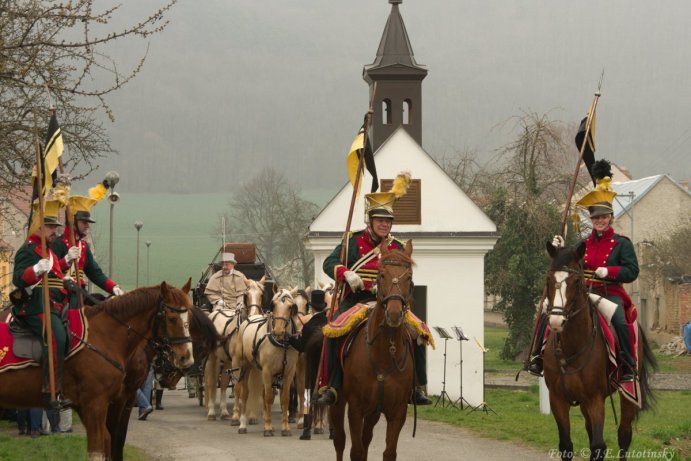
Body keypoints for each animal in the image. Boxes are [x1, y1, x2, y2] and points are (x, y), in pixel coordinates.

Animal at [0, 280, 195, 460]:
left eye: (190, 319)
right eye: (172, 318)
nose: (187, 358)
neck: (104, 336)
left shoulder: (103, 402)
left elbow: (111, 440)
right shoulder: (97, 404)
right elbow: (104, 447)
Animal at [205, 274, 264, 422]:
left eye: (261, 294)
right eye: (246, 294)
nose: (253, 315)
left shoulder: (248, 363)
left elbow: (246, 388)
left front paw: (247, 415)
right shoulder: (237, 361)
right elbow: (237, 387)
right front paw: (236, 415)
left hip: (226, 360)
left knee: (224, 383)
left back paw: (224, 412)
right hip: (212, 358)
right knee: (211, 381)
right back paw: (211, 412)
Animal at [234, 288, 298, 434]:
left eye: (290, 307)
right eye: (273, 305)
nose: (278, 331)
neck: (282, 344)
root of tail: (250, 318)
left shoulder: (288, 373)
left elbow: (284, 399)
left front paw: (285, 428)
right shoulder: (267, 371)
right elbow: (268, 398)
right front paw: (268, 427)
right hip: (244, 366)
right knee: (244, 393)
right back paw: (242, 424)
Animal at [332, 241, 416, 460]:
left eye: (409, 276)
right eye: (382, 274)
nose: (394, 314)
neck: (385, 352)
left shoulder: (397, 412)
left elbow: (389, 452)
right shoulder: (355, 408)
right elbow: (356, 451)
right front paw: (351, 278)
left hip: (374, 412)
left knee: (367, 438)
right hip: (338, 402)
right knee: (340, 441)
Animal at [544, 243, 656, 458]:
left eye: (576, 280)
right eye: (549, 278)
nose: (556, 320)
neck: (572, 348)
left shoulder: (595, 399)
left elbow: (598, 446)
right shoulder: (557, 398)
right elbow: (566, 445)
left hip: (629, 393)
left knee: (624, 434)